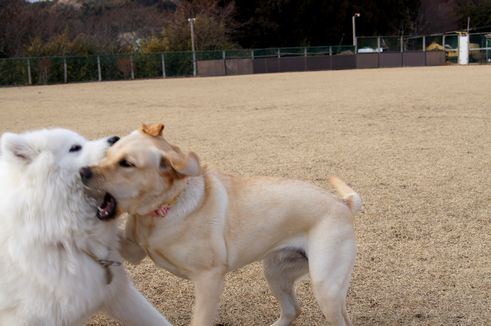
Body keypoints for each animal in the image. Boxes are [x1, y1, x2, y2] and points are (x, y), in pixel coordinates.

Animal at [82, 123, 364, 324]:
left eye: (127, 164)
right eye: (108, 155)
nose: (83, 171)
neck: (164, 209)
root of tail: (343, 203)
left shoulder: (209, 279)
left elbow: (200, 321)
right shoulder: (135, 250)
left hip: (325, 287)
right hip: (276, 272)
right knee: (293, 311)